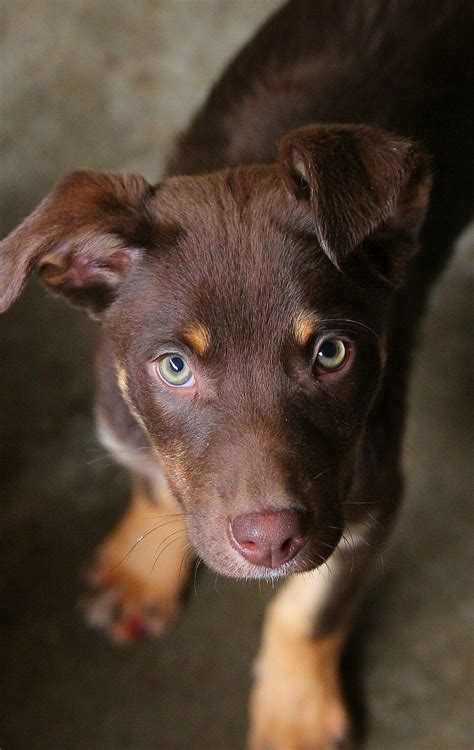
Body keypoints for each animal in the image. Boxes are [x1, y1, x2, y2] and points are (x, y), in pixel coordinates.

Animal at [0, 1, 474, 750]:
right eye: (174, 366)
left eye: (331, 353)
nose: (270, 540)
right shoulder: (120, 413)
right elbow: (153, 480)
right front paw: (142, 572)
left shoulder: (368, 491)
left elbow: (311, 606)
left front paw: (295, 712)